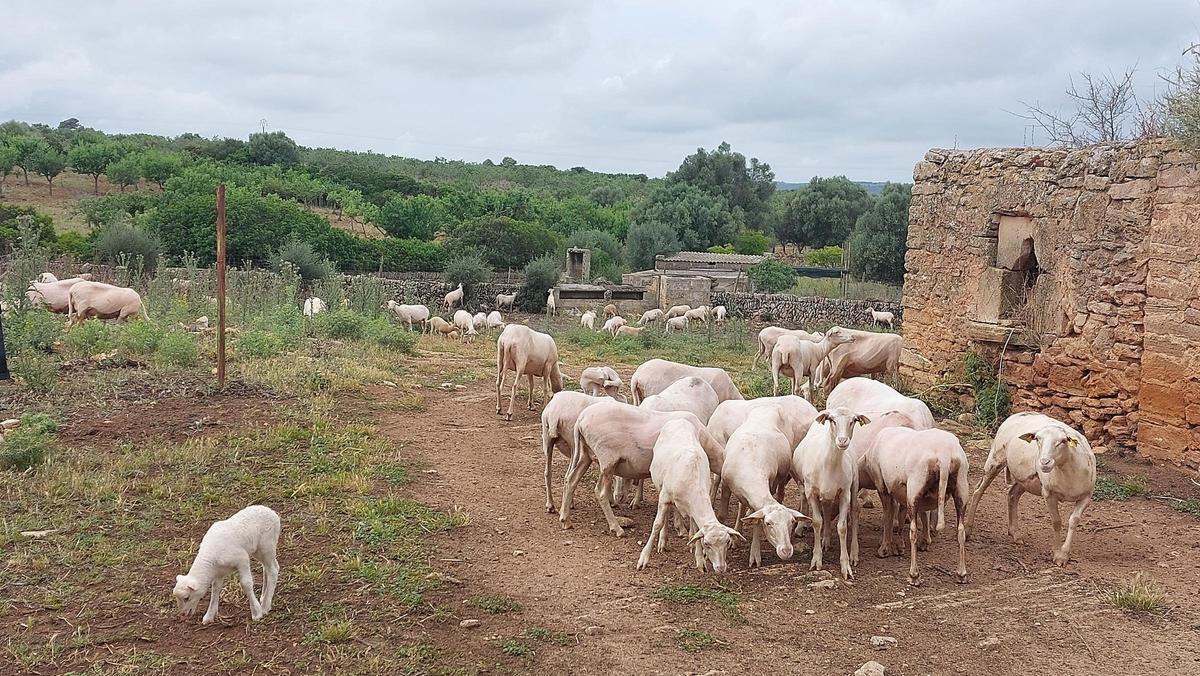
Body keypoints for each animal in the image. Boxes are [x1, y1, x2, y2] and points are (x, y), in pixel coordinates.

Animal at [638, 419, 742, 573]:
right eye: (707, 544)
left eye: (727, 542)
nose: (721, 568)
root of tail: (679, 419)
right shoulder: (664, 497)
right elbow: (657, 525)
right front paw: (643, 558)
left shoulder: (693, 506)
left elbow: (696, 530)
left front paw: (700, 561)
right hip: (660, 486)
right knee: (665, 517)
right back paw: (663, 541)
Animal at [719, 404, 809, 567]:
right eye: (768, 523)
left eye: (792, 522)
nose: (786, 551)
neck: (750, 466)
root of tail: (770, 405)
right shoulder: (726, 484)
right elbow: (723, 515)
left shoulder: (768, 485)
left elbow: (756, 522)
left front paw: (755, 555)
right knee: (742, 505)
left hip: (782, 473)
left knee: (780, 493)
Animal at [792, 407, 869, 580]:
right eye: (832, 420)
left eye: (853, 420)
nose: (842, 441)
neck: (829, 462)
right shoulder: (811, 492)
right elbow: (817, 522)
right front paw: (816, 560)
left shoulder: (845, 493)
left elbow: (842, 527)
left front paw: (846, 565)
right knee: (826, 512)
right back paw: (825, 540)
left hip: (854, 484)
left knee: (854, 512)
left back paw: (854, 553)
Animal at [861, 425, 970, 585]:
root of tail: (944, 453)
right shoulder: (903, 493)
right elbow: (909, 514)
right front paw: (902, 545)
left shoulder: (883, 487)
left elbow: (888, 516)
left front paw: (885, 548)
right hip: (961, 485)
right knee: (960, 531)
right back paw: (961, 574)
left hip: (915, 485)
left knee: (913, 531)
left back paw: (914, 575)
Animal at [964, 412, 1099, 567]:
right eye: (1037, 439)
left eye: (1063, 441)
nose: (1044, 462)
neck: (1067, 471)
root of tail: (1017, 414)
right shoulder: (1049, 494)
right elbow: (1056, 522)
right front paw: (1057, 553)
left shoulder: (1086, 496)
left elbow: (1074, 521)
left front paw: (1064, 554)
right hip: (995, 458)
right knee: (978, 490)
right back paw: (967, 530)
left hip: (1025, 479)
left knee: (1012, 495)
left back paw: (1015, 533)